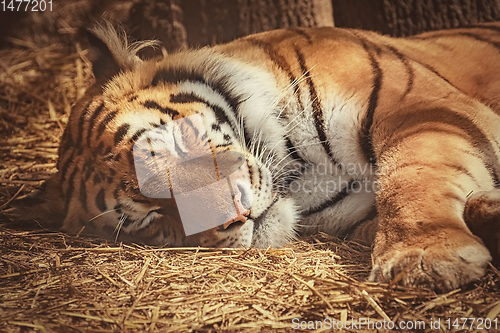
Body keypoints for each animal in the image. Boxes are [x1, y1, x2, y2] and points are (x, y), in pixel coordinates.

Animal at [18, 22, 500, 290]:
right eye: (149, 218)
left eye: (177, 146)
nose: (238, 217)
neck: (300, 167)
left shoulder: (416, 108)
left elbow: (413, 177)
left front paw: (423, 259)